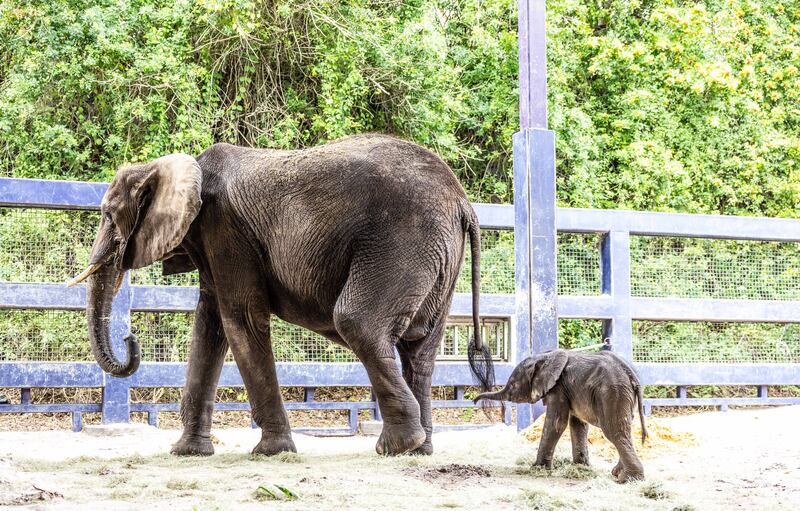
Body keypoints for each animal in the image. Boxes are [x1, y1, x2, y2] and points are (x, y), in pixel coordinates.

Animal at [70, 135, 494, 456]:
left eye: (107, 215)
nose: (131, 340)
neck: (177, 165)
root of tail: (463, 203)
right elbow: (209, 327)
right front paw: (186, 453)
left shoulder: (226, 231)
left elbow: (239, 318)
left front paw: (271, 452)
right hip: (438, 257)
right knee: (420, 348)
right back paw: (420, 450)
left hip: (402, 241)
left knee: (359, 324)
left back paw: (397, 446)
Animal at [472, 350, 648, 482]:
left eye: (513, 385)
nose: (474, 401)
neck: (545, 356)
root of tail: (633, 377)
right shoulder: (571, 390)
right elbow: (577, 425)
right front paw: (580, 468)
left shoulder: (558, 388)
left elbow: (556, 423)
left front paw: (537, 469)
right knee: (625, 430)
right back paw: (617, 473)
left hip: (613, 393)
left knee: (615, 432)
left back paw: (628, 479)